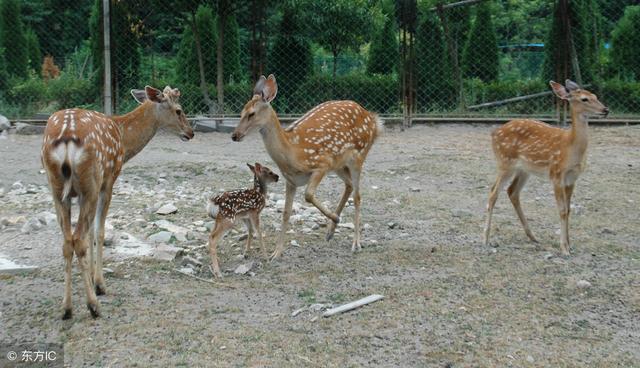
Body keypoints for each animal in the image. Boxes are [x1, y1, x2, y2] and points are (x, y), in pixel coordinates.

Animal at [41, 86, 194, 320]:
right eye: (179, 110)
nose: (191, 132)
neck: (123, 138)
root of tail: (65, 139)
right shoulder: (109, 180)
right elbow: (99, 232)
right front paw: (98, 284)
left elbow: (89, 233)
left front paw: (92, 279)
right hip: (91, 182)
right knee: (78, 240)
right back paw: (93, 305)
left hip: (57, 189)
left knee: (68, 242)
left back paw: (66, 308)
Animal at [230, 74, 380, 258]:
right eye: (241, 112)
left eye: (251, 114)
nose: (234, 135)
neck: (294, 153)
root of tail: (373, 119)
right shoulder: (291, 180)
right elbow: (286, 213)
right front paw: (276, 253)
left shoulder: (322, 164)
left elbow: (308, 195)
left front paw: (336, 218)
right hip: (339, 164)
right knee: (349, 185)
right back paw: (330, 232)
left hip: (358, 155)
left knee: (358, 196)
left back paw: (355, 243)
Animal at [484, 79, 608, 254]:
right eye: (584, 99)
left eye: (595, 96)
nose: (605, 110)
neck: (570, 148)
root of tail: (494, 133)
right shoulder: (556, 173)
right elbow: (562, 210)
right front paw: (564, 248)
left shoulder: (572, 178)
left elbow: (568, 210)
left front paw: (570, 244)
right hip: (505, 162)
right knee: (493, 193)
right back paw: (486, 239)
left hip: (524, 169)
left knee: (511, 191)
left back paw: (533, 236)